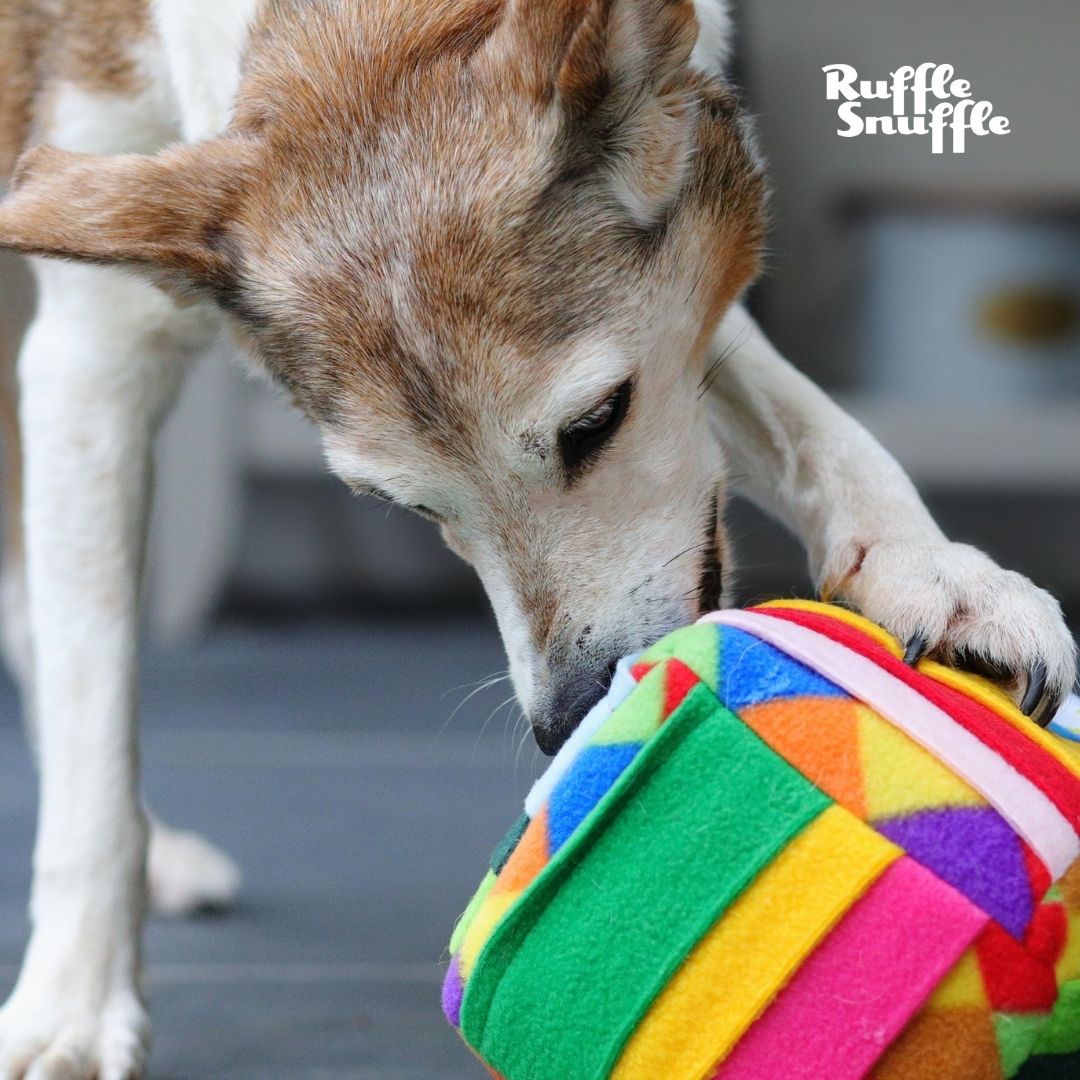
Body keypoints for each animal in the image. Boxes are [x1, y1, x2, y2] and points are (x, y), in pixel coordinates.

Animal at [0, 2, 1071, 1080]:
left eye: (597, 420)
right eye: (399, 503)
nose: (575, 716)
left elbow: (802, 415)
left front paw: (930, 572)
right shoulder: (88, 349)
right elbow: (94, 707)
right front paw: (76, 1002)